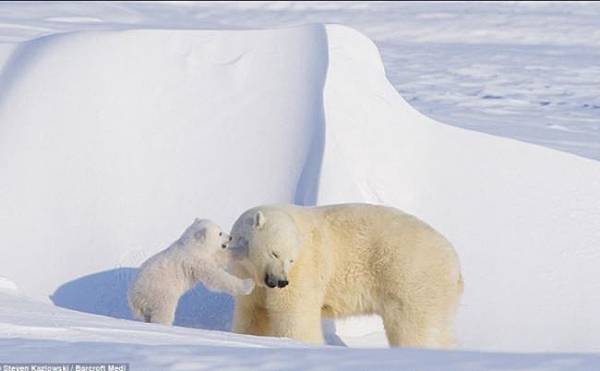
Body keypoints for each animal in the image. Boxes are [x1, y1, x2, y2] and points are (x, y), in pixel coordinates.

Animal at [230, 203, 464, 348]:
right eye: (275, 253)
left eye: (291, 260)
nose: (281, 281)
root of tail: (454, 263)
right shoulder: (247, 278)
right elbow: (253, 314)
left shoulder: (306, 267)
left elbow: (294, 312)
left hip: (412, 279)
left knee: (415, 327)